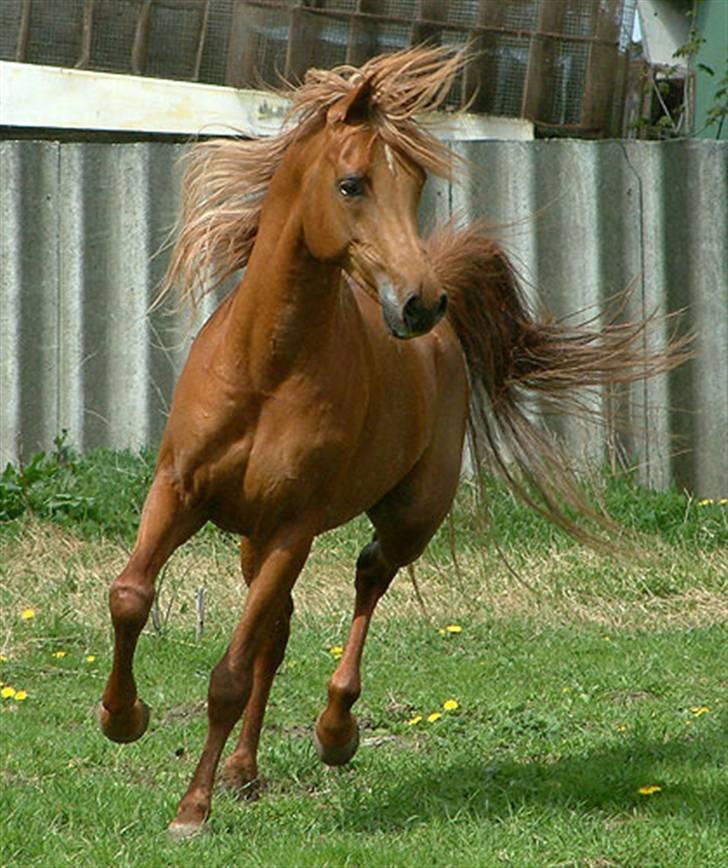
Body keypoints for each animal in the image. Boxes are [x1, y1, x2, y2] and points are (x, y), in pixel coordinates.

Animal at [99, 47, 684, 836]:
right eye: (352, 184)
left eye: (415, 186)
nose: (418, 302)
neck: (266, 369)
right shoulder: (179, 492)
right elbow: (132, 597)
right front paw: (122, 717)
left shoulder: (295, 527)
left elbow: (228, 673)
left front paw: (193, 807)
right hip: (256, 539)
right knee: (278, 631)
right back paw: (247, 770)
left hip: (405, 518)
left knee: (367, 578)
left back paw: (334, 732)